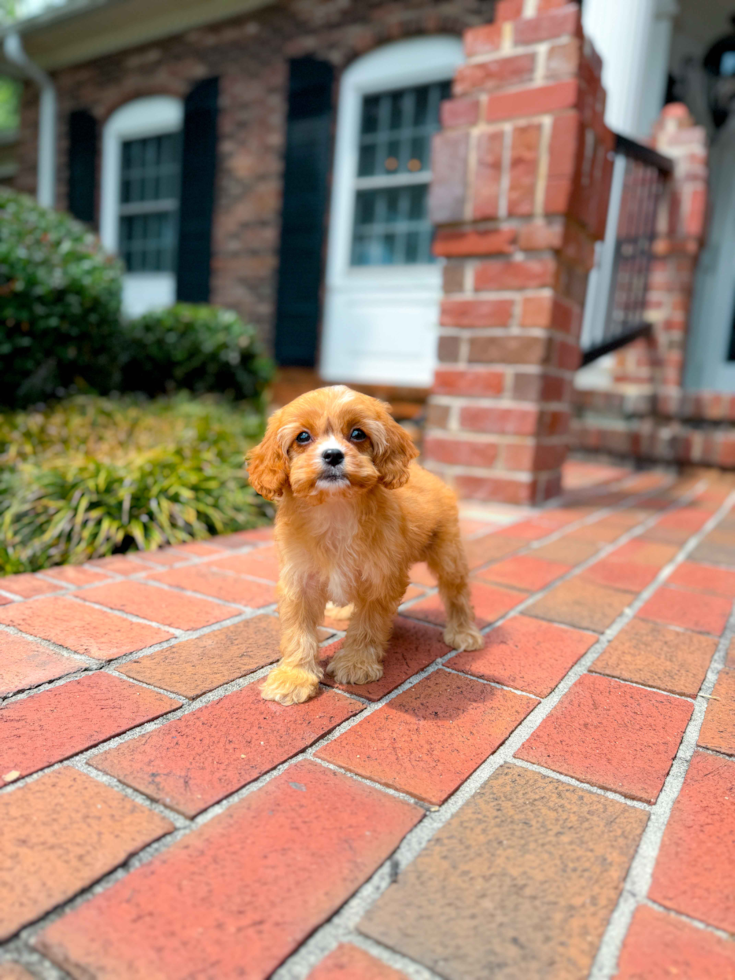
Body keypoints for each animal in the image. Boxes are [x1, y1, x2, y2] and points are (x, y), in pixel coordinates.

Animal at [250, 384, 486, 704]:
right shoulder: (299, 580)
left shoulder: (380, 580)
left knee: (457, 592)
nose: (333, 455)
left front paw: (356, 663)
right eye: (303, 437)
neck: (336, 509)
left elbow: (367, 624)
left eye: (358, 434)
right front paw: (293, 677)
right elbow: (298, 632)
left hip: (448, 554)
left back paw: (464, 632)